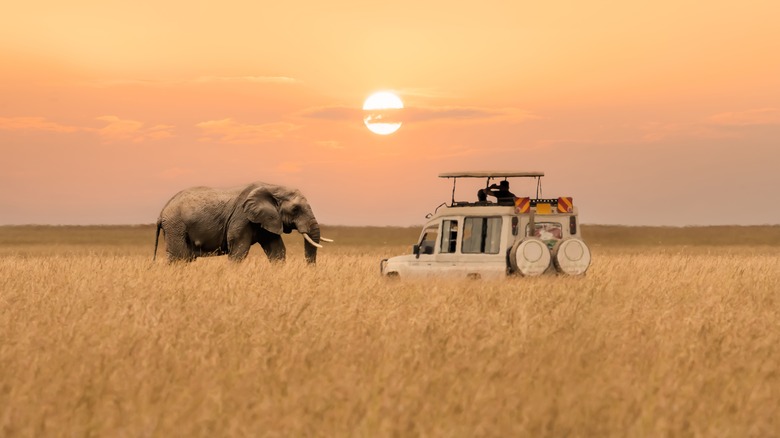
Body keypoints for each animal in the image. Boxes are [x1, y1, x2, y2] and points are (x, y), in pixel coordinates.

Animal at [154, 181, 330, 264]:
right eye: (295, 209)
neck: (272, 187)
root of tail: (162, 211)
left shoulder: (267, 220)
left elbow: (277, 251)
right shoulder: (241, 218)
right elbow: (239, 250)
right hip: (176, 226)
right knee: (179, 257)